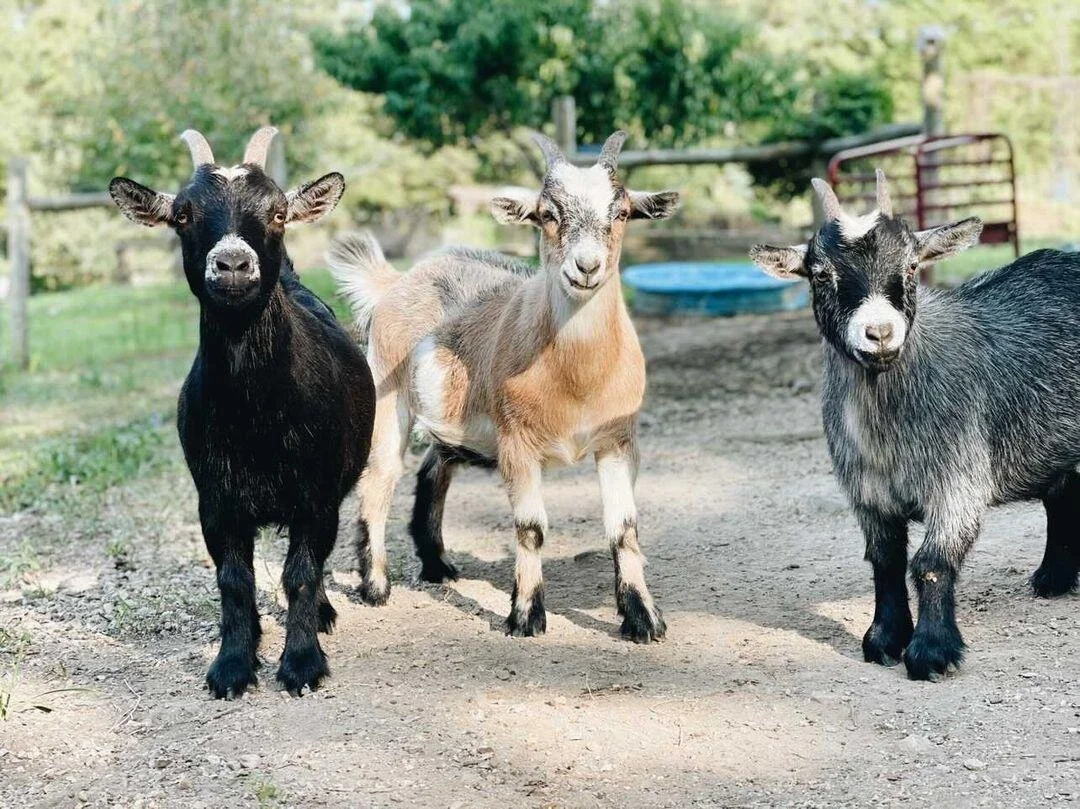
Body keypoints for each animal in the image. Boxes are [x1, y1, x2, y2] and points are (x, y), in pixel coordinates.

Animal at [109, 128, 375, 697]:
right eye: (182, 214)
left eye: (277, 213)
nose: (233, 263)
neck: (258, 420)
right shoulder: (215, 498)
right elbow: (234, 579)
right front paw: (233, 663)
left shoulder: (316, 495)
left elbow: (302, 573)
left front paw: (301, 664)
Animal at [329, 131, 679, 641]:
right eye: (547, 214)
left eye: (621, 212)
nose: (587, 267)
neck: (576, 381)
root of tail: (398, 280)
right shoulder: (517, 442)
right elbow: (531, 527)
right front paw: (526, 616)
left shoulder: (618, 440)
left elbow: (623, 527)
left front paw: (642, 618)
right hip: (387, 393)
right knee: (380, 480)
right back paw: (376, 586)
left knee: (433, 469)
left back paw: (436, 566)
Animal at [750, 170, 1080, 681]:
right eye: (821, 273)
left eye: (910, 267)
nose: (880, 333)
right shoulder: (866, 492)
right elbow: (885, 560)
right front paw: (884, 639)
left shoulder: (958, 481)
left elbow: (931, 561)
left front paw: (931, 652)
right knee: (1061, 492)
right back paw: (1053, 579)